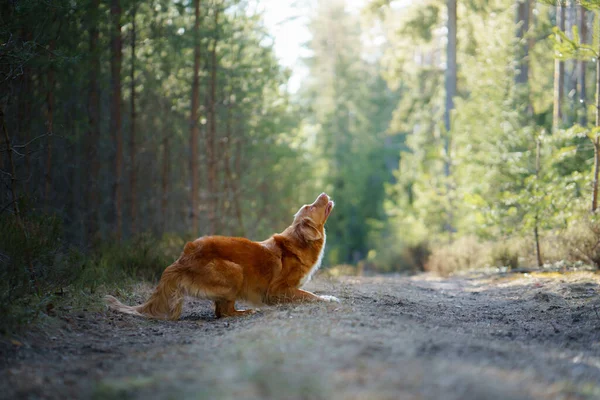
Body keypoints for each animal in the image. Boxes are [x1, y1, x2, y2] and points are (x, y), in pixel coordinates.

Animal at [105, 192, 336, 320]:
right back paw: (247, 312)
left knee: (220, 310)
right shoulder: (277, 290)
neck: (299, 242)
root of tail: (184, 256)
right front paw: (329, 298)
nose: (324, 193)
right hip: (236, 270)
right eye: (311, 206)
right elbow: (309, 295)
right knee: (224, 312)